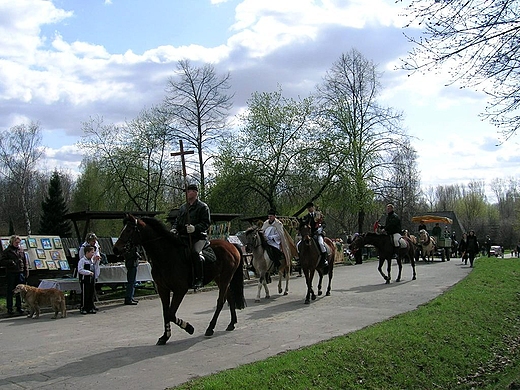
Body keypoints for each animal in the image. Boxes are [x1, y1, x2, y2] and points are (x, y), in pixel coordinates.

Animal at [112, 213, 247, 344]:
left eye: (129, 230)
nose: (115, 249)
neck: (165, 255)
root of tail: (231, 245)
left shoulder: (180, 290)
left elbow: (171, 314)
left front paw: (189, 328)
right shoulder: (163, 289)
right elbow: (166, 313)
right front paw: (165, 336)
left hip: (225, 278)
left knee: (220, 301)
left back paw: (210, 328)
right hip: (220, 279)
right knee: (229, 297)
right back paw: (231, 323)